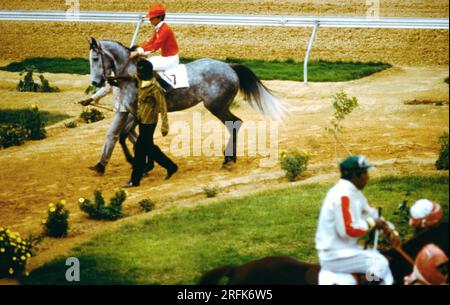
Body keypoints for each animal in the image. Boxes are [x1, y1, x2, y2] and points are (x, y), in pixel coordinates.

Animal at [88, 39, 284, 166]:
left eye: (95, 58)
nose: (96, 83)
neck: (131, 76)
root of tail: (229, 67)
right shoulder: (132, 113)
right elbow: (124, 136)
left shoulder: (139, 113)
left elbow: (129, 136)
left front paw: (138, 163)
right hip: (219, 106)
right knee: (235, 124)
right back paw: (230, 157)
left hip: (216, 106)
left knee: (235, 123)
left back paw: (227, 158)